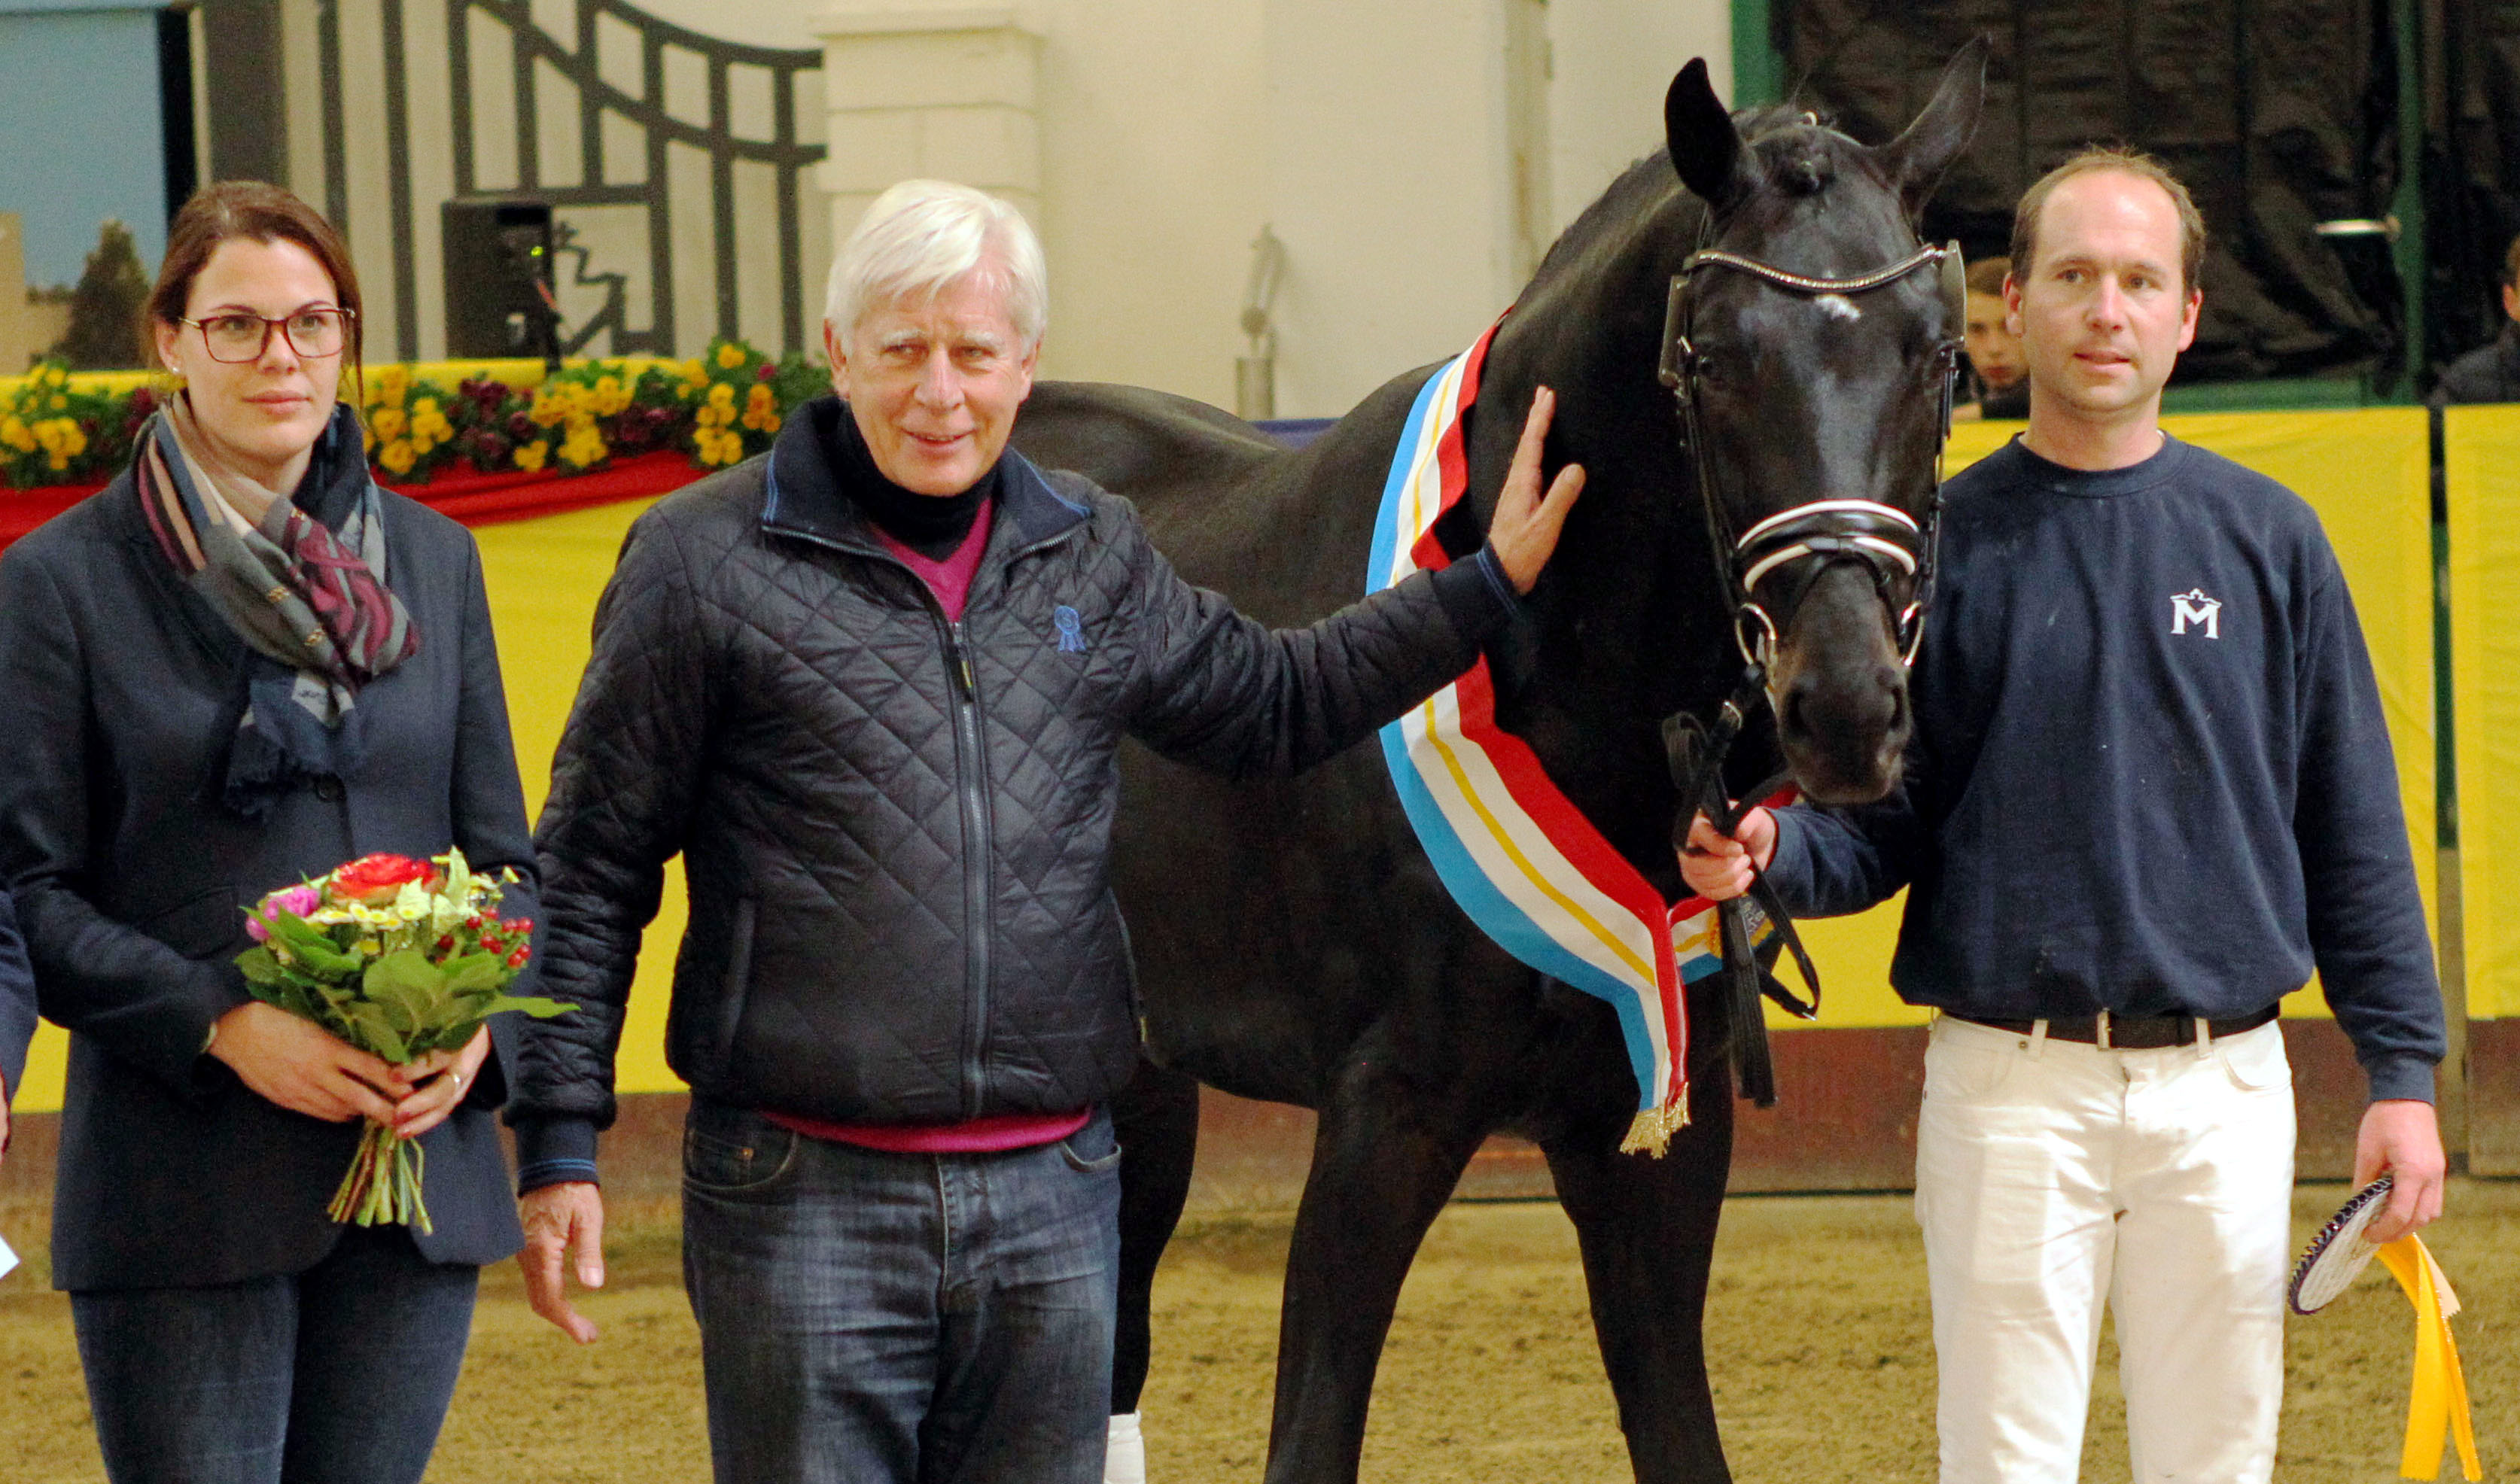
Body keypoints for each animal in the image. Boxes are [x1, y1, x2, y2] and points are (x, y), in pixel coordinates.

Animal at [1012, 46, 1975, 1481]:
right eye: (1716, 359)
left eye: (1937, 355)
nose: (1845, 706)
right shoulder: (1383, 1121)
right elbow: (1312, 1435)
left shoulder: (1649, 1141)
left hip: (1139, 1090)